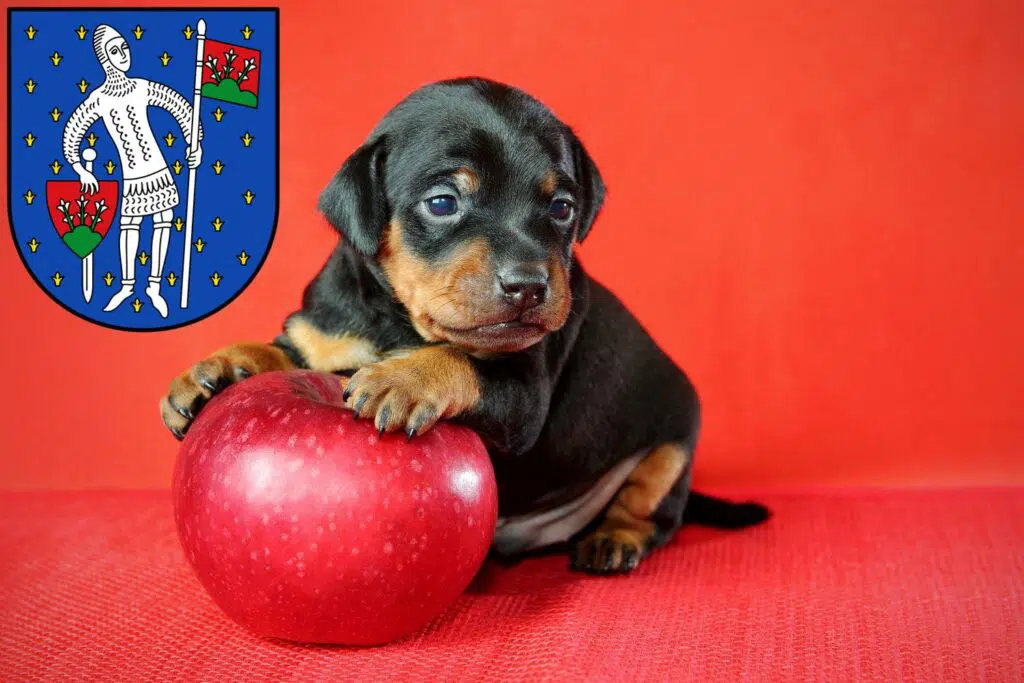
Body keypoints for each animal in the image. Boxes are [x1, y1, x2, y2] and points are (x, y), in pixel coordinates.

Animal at [161, 77, 770, 573]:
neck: (401, 324)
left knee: (655, 511)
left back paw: (615, 538)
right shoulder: (323, 335)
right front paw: (217, 368)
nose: (529, 286)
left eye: (562, 208)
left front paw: (401, 378)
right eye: (442, 202)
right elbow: (282, 351)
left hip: (674, 441)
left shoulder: (523, 395)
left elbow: (457, 358)